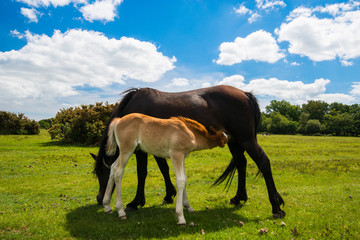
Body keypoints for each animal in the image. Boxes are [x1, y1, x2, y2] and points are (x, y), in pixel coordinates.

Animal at [93, 85, 286, 218]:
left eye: (102, 174)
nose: (98, 199)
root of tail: (246, 94)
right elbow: (164, 169)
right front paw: (169, 195)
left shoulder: (141, 150)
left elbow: (142, 173)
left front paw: (136, 202)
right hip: (235, 141)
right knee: (241, 164)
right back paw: (239, 197)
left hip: (246, 139)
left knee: (263, 162)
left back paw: (276, 207)